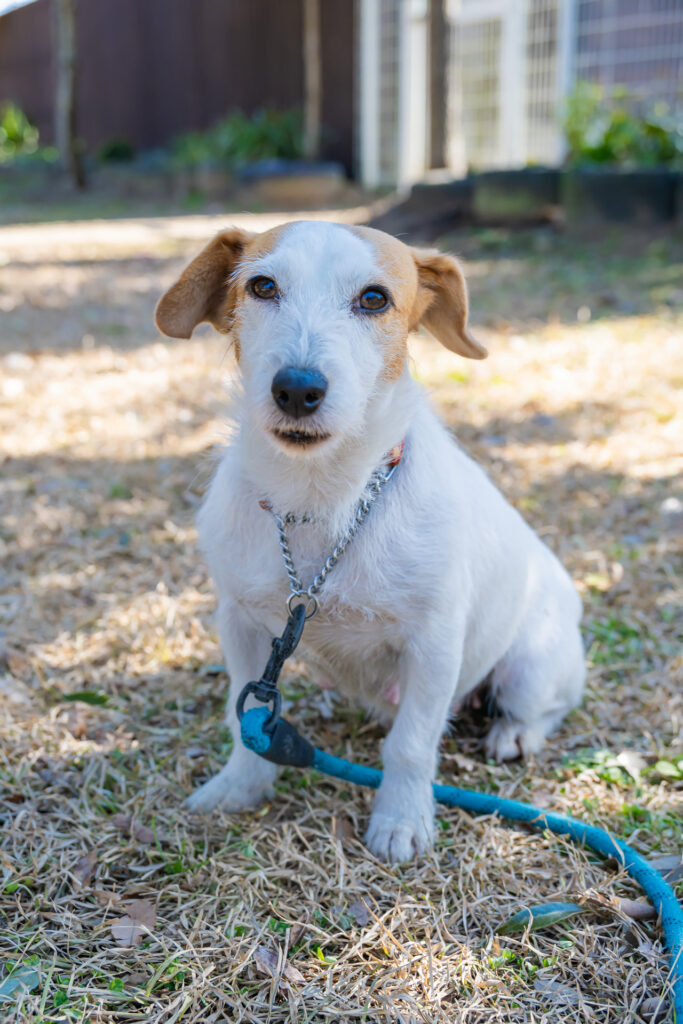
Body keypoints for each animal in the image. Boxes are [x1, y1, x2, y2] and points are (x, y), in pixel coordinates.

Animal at [155, 221, 585, 863]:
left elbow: (410, 745)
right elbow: (244, 722)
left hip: (532, 665)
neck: (322, 501)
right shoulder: (241, 624)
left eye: (375, 298)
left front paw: (401, 820)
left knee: (540, 707)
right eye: (262, 286)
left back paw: (513, 733)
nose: (297, 389)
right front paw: (240, 785)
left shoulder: (434, 646)